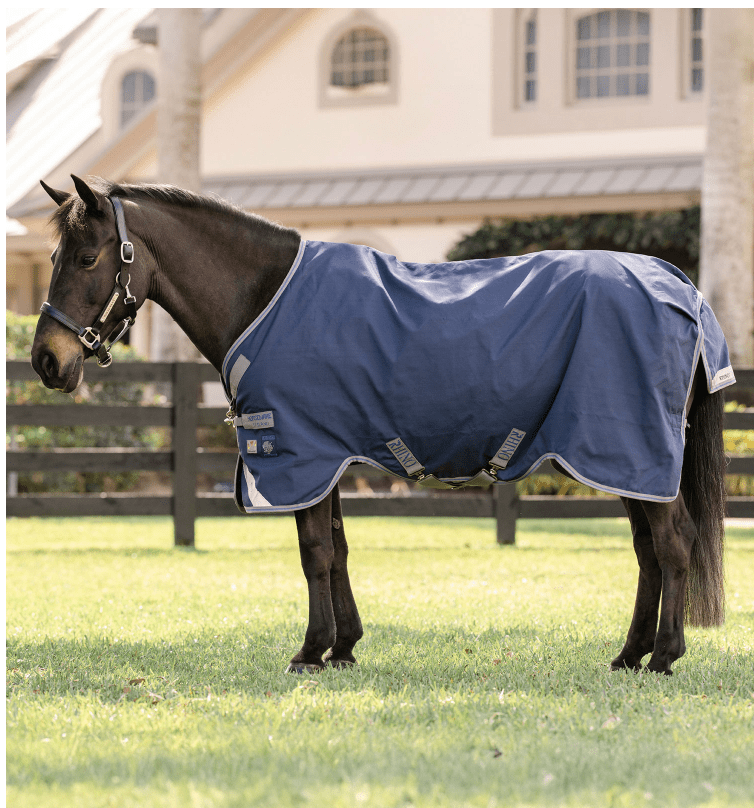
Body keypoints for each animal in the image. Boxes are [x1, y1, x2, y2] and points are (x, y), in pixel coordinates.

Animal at [31, 175, 730, 676]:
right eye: (55, 255)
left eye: (88, 257)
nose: (45, 360)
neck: (263, 297)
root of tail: (679, 285)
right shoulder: (328, 457)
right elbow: (337, 549)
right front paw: (344, 647)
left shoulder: (301, 453)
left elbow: (314, 553)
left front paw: (310, 652)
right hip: (623, 460)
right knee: (648, 551)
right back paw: (630, 655)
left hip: (631, 448)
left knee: (673, 544)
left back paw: (664, 656)